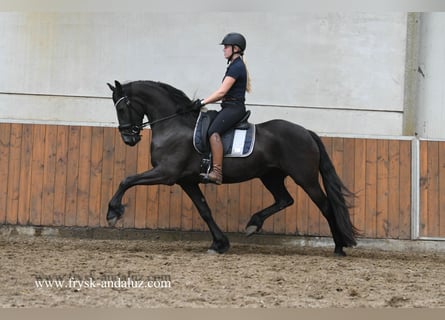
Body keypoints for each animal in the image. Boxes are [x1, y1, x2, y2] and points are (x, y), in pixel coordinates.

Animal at [105, 81, 358, 256]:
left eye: (122, 108)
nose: (128, 138)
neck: (173, 125)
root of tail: (306, 132)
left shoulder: (167, 173)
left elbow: (127, 180)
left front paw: (113, 213)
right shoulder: (187, 180)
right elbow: (204, 210)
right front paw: (219, 244)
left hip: (305, 178)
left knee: (325, 206)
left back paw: (339, 247)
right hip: (271, 176)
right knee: (285, 199)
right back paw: (254, 224)